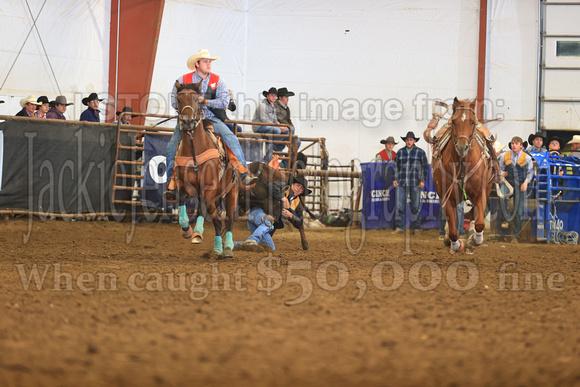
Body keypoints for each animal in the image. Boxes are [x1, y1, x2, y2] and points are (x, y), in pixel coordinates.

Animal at [173, 81, 239, 258]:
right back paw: (217, 248)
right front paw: (186, 229)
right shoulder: (185, 185)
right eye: (179, 99)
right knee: (217, 219)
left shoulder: (208, 188)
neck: (194, 151)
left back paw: (228, 248)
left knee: (229, 220)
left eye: (197, 99)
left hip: (231, 192)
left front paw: (197, 232)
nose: (188, 122)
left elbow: (202, 208)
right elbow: (181, 199)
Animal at [426, 98, 494, 253]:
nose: (462, 147)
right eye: (453, 121)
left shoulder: (481, 193)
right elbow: (452, 230)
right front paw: (456, 244)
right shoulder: (447, 196)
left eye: (473, 122)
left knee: (475, 215)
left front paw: (475, 239)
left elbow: (480, 223)